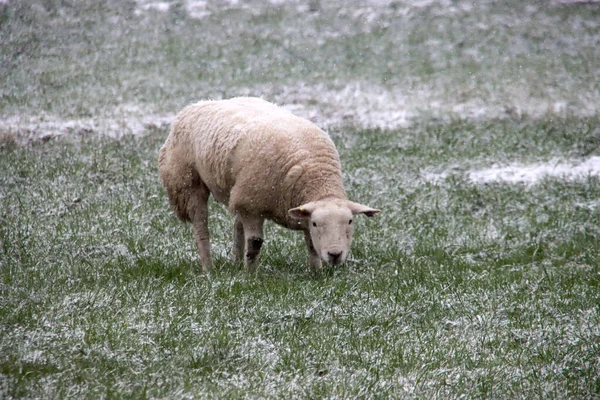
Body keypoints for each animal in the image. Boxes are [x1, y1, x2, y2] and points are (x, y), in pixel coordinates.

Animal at [158, 97, 380, 272]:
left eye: (350, 221)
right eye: (317, 223)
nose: (335, 254)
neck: (318, 180)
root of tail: (199, 104)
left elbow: (310, 243)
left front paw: (317, 272)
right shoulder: (251, 205)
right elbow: (255, 244)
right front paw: (249, 276)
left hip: (238, 189)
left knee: (237, 225)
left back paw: (235, 262)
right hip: (188, 182)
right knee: (201, 226)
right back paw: (209, 269)